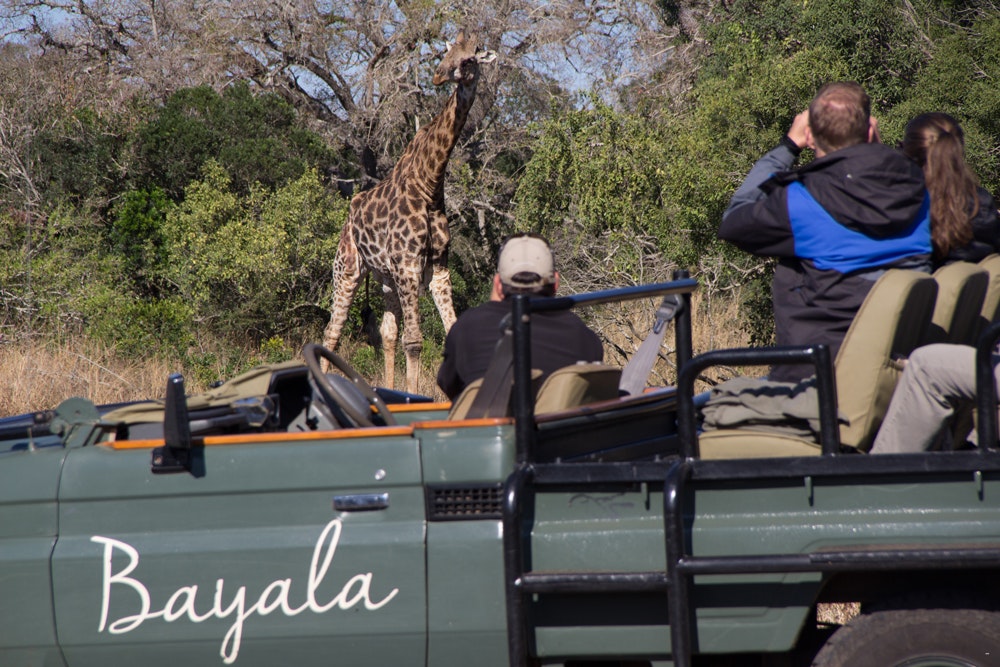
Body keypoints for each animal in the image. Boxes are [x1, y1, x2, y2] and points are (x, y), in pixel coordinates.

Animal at [323, 32, 496, 393]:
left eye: (469, 59)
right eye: (446, 53)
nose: (439, 76)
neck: (429, 183)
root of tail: (348, 220)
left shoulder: (438, 267)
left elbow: (445, 332)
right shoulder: (408, 264)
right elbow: (414, 341)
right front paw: (414, 396)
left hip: (387, 279)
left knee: (387, 332)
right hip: (347, 269)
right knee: (332, 334)